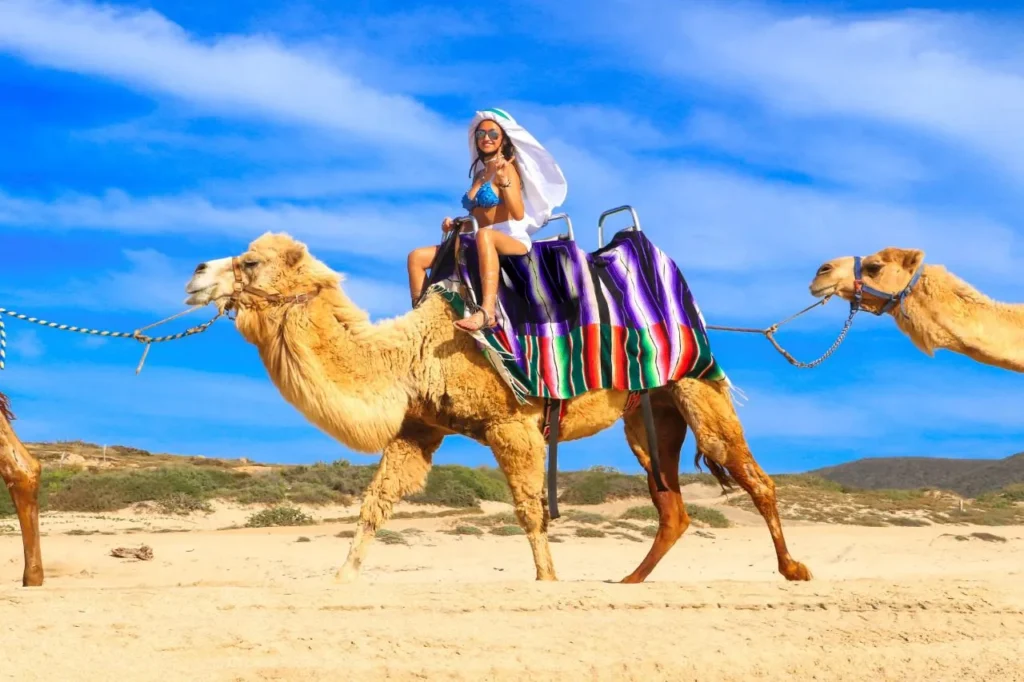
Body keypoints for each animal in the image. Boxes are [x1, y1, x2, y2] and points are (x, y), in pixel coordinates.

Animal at [182, 231, 806, 581]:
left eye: (251, 263)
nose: (196, 274)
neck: (418, 353)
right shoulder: (417, 429)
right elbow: (376, 504)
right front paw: (342, 576)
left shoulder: (512, 424)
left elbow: (530, 511)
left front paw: (547, 581)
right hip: (647, 412)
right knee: (671, 503)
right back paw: (630, 581)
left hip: (695, 384)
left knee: (752, 475)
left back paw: (793, 568)